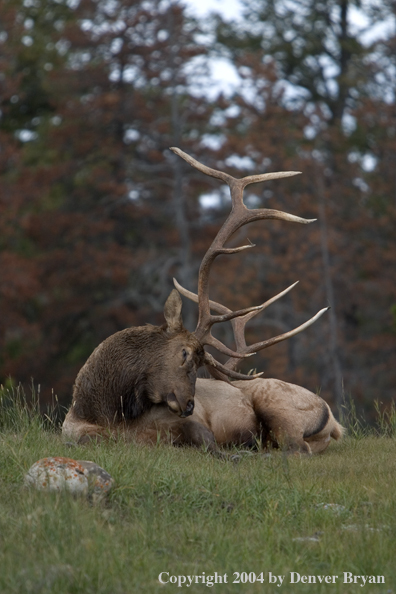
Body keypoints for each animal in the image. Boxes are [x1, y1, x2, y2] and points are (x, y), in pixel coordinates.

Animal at [62, 147, 328, 444]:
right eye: (185, 353)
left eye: (200, 361)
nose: (189, 404)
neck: (105, 413)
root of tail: (333, 419)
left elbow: (205, 440)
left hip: (280, 408)